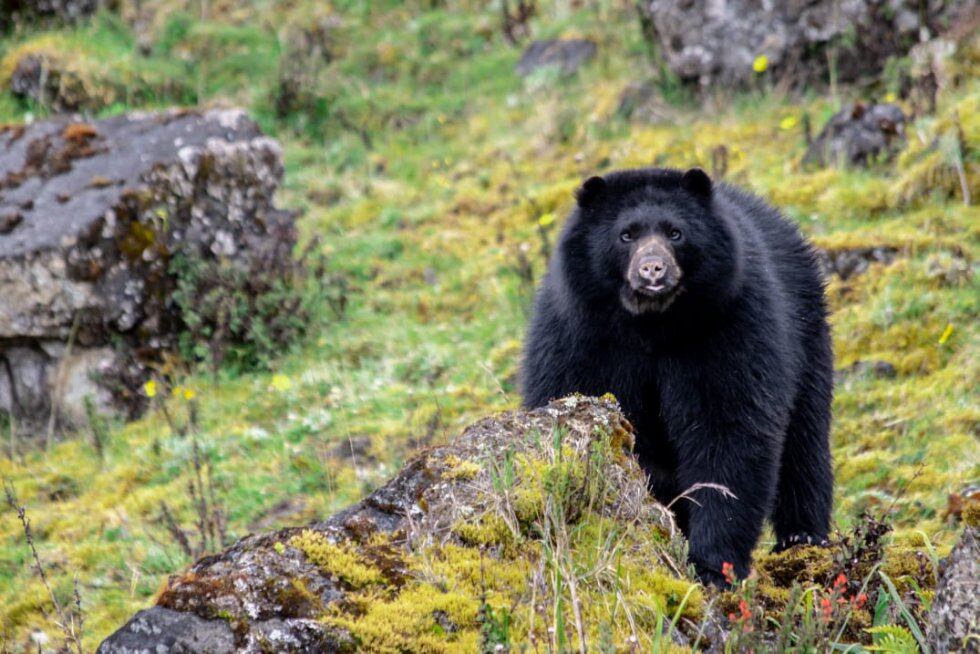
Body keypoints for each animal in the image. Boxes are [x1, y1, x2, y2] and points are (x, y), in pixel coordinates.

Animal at [521, 167, 833, 587]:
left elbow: (730, 429)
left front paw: (713, 564)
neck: (653, 327)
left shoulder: (731, 326)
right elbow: (567, 394)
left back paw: (803, 538)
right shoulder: (580, 338)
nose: (653, 268)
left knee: (806, 442)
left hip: (808, 333)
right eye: (626, 235)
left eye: (675, 233)